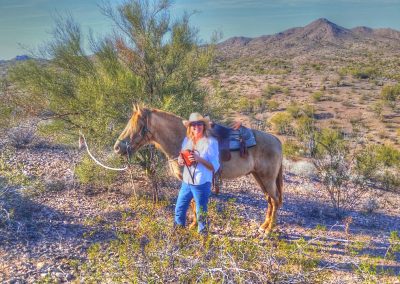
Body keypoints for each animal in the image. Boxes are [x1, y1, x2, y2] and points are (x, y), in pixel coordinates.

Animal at [114, 104, 282, 233]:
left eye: (138, 125)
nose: (117, 148)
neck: (182, 139)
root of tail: (276, 140)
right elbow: (193, 202)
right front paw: (194, 224)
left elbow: (195, 201)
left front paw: (194, 225)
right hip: (259, 177)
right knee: (269, 199)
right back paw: (264, 226)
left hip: (267, 178)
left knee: (275, 201)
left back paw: (268, 230)